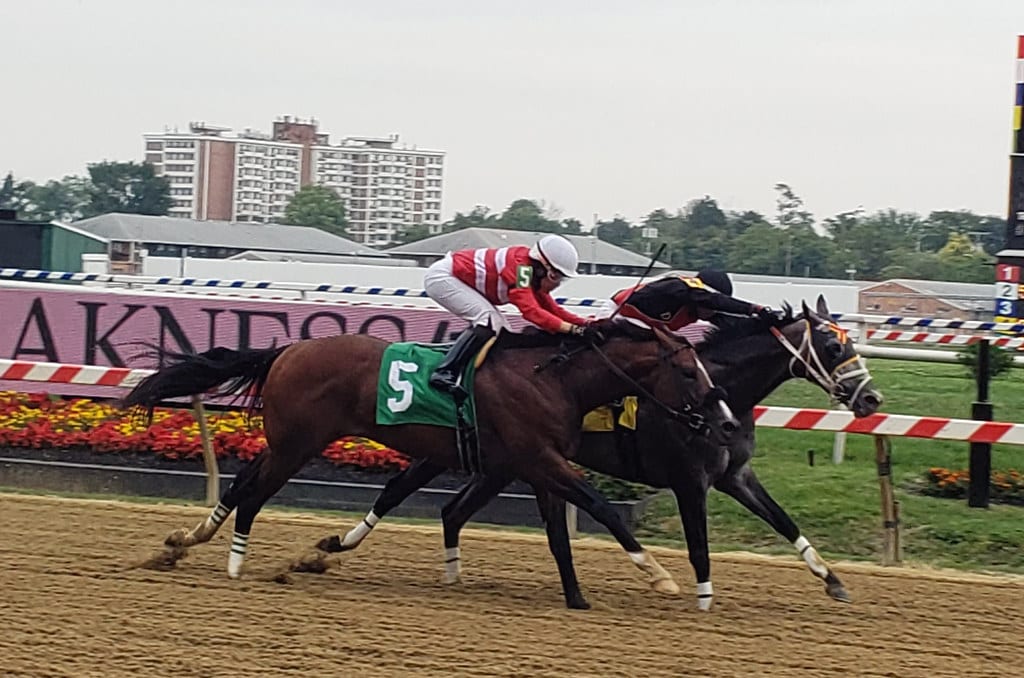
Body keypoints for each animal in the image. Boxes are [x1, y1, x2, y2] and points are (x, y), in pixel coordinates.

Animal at [123, 315, 741, 602]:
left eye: (704, 366)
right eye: (689, 372)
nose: (729, 422)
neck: (551, 378)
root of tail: (289, 348)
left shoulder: (536, 466)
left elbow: (558, 536)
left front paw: (576, 598)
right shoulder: (539, 460)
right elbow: (603, 509)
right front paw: (660, 576)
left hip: (289, 442)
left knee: (244, 481)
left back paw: (186, 543)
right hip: (297, 444)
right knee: (255, 492)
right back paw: (232, 562)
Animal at [311, 297, 880, 610]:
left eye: (853, 344)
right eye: (834, 347)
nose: (872, 399)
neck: (721, 393)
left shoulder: (734, 475)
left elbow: (785, 522)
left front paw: (834, 581)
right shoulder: (689, 482)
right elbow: (698, 546)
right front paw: (701, 597)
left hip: (502, 465)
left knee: (452, 510)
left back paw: (447, 570)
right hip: (464, 452)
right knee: (399, 488)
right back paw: (339, 545)